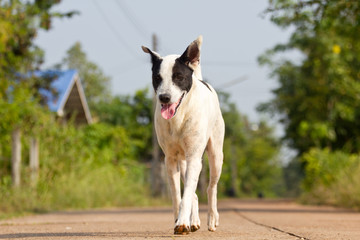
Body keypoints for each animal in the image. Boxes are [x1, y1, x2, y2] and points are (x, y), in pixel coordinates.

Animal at [141, 35, 224, 234]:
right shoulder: (170, 159)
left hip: (216, 154)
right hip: (183, 161)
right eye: (157, 78)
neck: (178, 117)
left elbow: (187, 195)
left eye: (179, 77)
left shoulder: (194, 157)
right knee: (193, 192)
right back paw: (194, 222)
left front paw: (182, 223)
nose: (164, 97)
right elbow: (177, 196)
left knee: (211, 187)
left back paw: (212, 219)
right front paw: (180, 220)